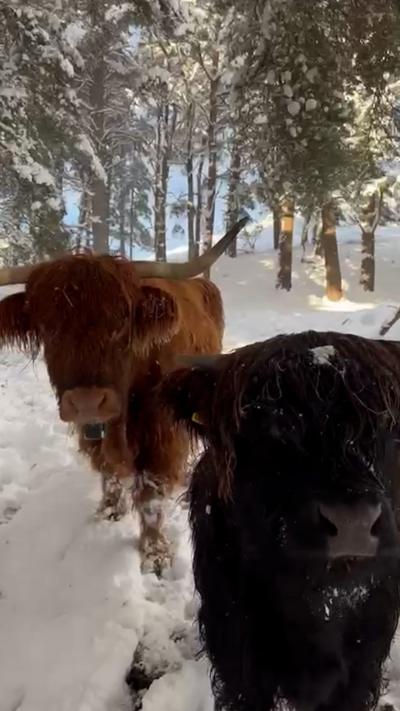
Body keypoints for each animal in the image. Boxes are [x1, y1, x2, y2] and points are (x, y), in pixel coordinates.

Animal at [0, 218, 248, 573]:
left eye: (121, 323)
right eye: (48, 328)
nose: (88, 401)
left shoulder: (159, 435)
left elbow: (149, 494)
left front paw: (155, 553)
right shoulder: (92, 431)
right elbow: (108, 471)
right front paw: (109, 510)